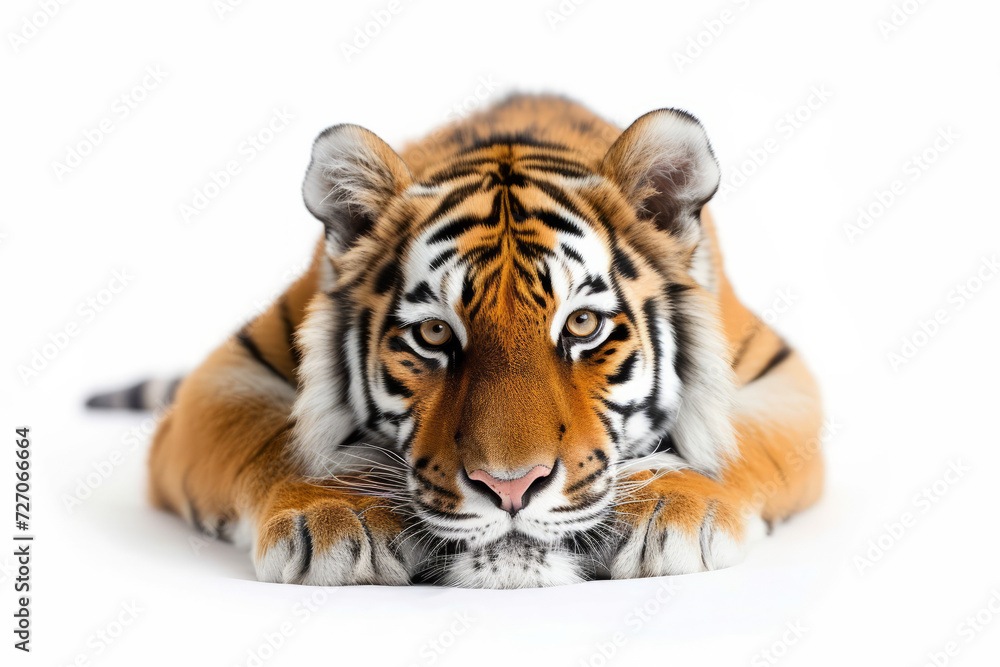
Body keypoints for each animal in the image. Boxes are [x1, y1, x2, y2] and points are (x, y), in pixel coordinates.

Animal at [88, 94, 824, 588]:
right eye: (434, 332)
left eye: (582, 326)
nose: (511, 486)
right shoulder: (223, 376)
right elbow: (274, 439)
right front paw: (334, 513)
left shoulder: (779, 377)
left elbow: (735, 445)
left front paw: (672, 504)